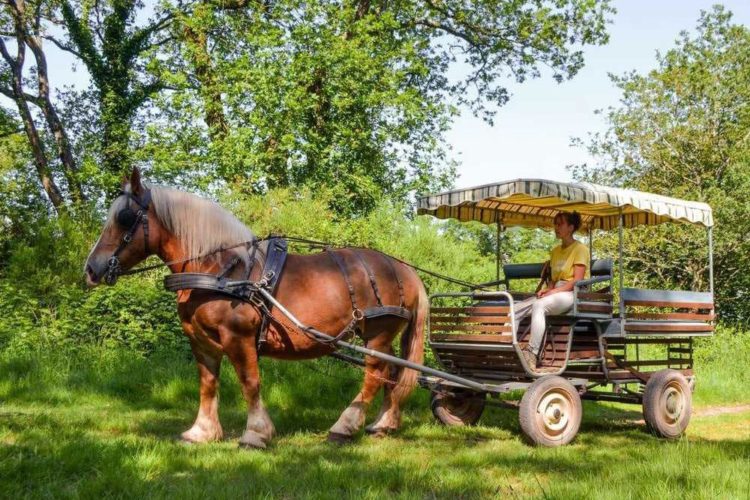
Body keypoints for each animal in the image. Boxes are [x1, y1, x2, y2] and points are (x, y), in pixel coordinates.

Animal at [84, 169, 426, 450]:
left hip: (377, 335)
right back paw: (383, 424)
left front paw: (256, 434)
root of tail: (405, 269)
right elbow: (207, 384)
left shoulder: (238, 337)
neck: (219, 269)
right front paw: (202, 432)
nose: (91, 269)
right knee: (393, 374)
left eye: (124, 217)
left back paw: (345, 426)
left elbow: (249, 382)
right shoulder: (200, 341)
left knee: (375, 375)